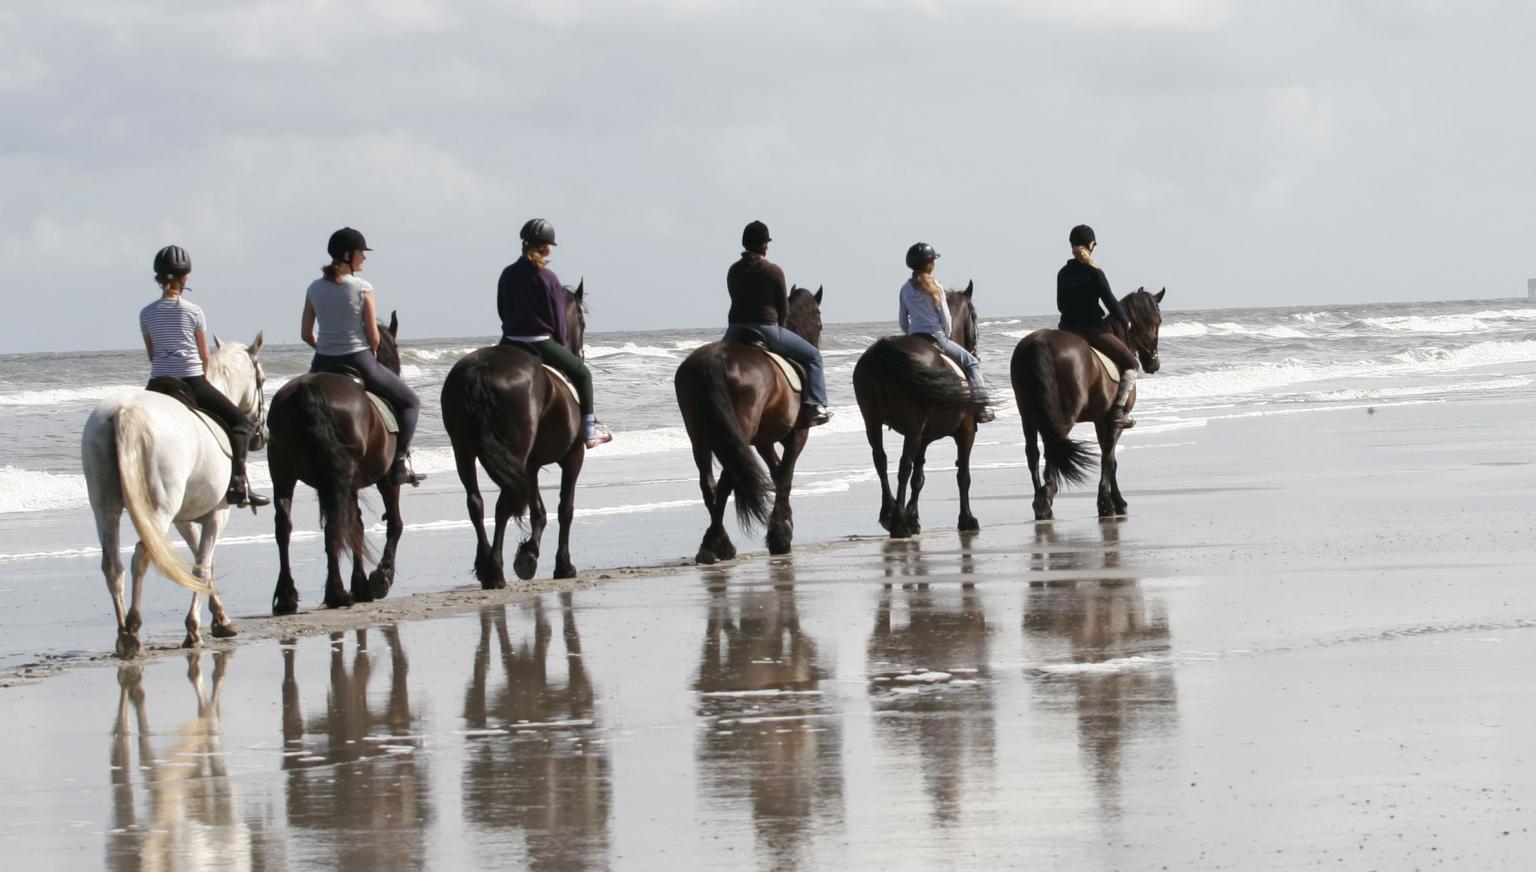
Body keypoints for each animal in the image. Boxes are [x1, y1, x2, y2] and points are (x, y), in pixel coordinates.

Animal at [83, 331, 267, 654]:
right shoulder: (217, 515)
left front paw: (220, 620)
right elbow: (201, 566)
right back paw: (133, 630)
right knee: (142, 555)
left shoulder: (184, 519)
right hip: (160, 508)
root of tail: (124, 412)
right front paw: (194, 629)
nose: (262, 436)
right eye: (263, 380)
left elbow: (201, 562)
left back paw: (122, 633)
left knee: (112, 563)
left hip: (104, 505)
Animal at [678, 282, 829, 561]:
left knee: (709, 484)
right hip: (737, 434)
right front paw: (781, 535)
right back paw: (718, 544)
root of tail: (714, 359)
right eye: (820, 321)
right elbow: (785, 476)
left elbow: (778, 473)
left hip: (700, 437)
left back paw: (715, 542)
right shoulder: (798, 435)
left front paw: (782, 525)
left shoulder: (763, 442)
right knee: (726, 481)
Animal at [1007, 285, 1161, 518]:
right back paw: (1046, 497)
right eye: (1158, 321)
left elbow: (1109, 456)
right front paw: (1110, 503)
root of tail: (1039, 342)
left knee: (1033, 452)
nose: (1154, 363)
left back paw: (1040, 499)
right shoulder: (1112, 421)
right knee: (1053, 446)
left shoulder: (1099, 420)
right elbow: (1109, 457)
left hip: (1028, 413)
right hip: (1064, 414)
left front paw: (1111, 501)